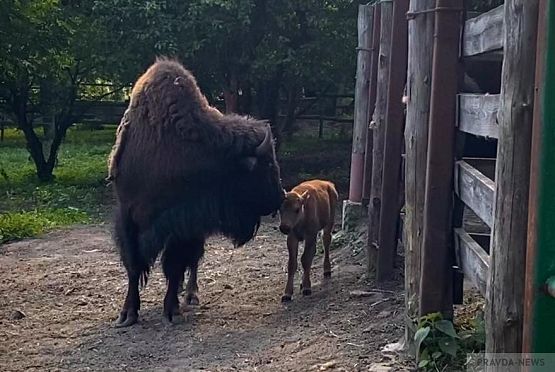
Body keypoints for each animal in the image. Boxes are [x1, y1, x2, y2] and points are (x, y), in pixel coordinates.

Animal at [107, 57, 284, 326]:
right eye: (267, 166)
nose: (280, 196)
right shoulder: (128, 216)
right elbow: (134, 266)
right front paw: (127, 314)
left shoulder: (183, 224)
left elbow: (175, 264)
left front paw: (171, 310)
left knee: (193, 262)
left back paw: (190, 295)